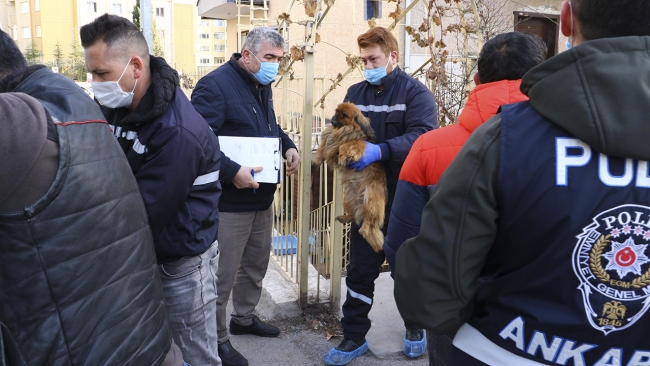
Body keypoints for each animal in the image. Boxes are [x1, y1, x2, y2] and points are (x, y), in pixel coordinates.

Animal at [312, 102, 384, 252]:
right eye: (336, 112)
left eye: (344, 115)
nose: (334, 117)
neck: (341, 130)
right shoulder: (329, 139)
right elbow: (322, 148)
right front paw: (316, 161)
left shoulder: (355, 143)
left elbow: (344, 146)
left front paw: (342, 157)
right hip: (349, 199)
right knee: (354, 216)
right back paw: (344, 218)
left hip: (371, 200)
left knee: (369, 220)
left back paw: (365, 229)